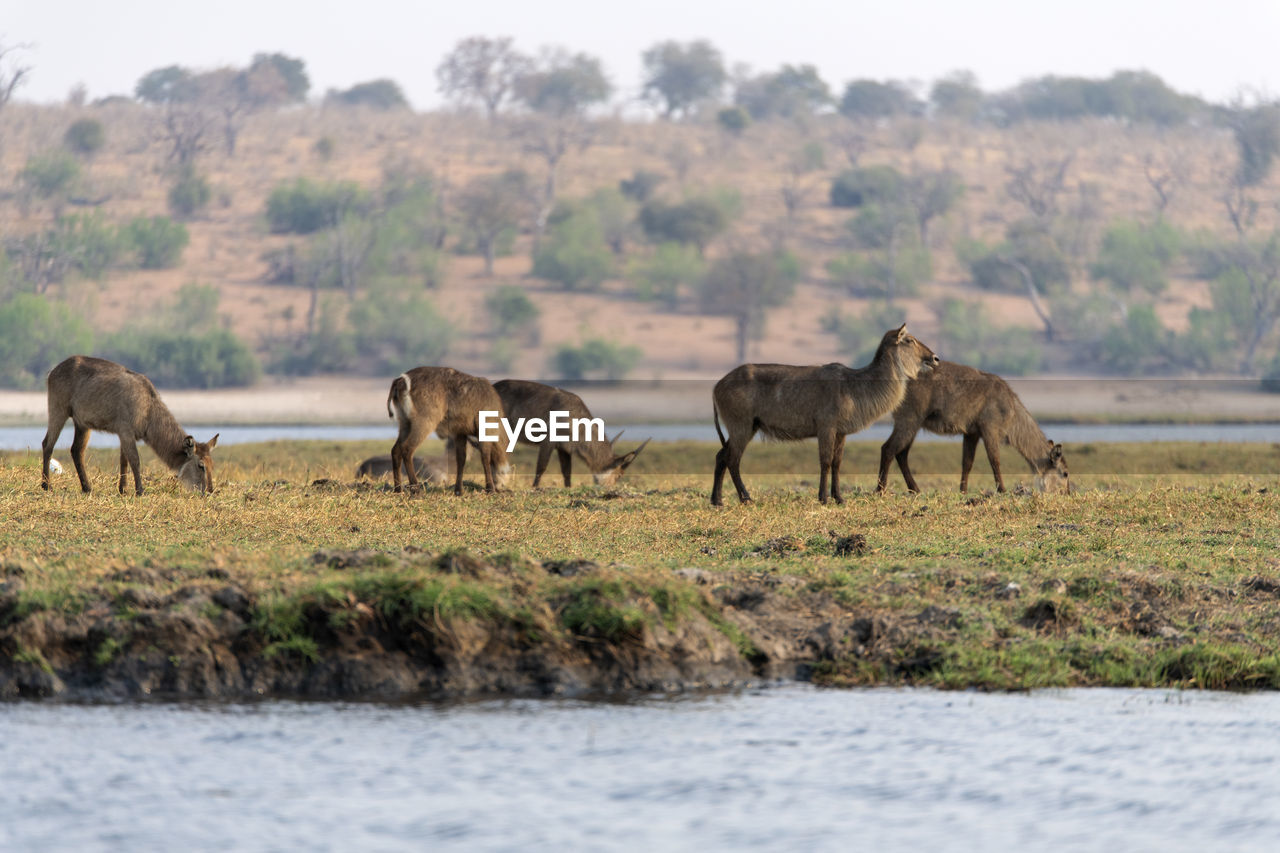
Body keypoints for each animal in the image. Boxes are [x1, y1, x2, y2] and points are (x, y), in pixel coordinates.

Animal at [40, 356, 217, 494]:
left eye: (212, 465)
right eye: (201, 465)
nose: (209, 491)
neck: (148, 410)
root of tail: (53, 371)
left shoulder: (123, 433)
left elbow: (123, 460)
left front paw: (123, 489)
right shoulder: (125, 430)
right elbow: (134, 460)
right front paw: (140, 490)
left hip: (82, 423)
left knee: (76, 450)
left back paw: (87, 487)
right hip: (58, 409)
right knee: (47, 443)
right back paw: (46, 485)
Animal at [386, 363, 512, 494]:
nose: (501, 486)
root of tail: (401, 380)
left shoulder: (460, 432)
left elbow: (461, 459)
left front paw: (459, 490)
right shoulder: (484, 430)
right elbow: (485, 458)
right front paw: (490, 489)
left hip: (404, 422)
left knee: (395, 450)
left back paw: (398, 489)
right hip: (425, 421)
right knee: (407, 448)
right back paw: (416, 488)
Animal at [491, 379, 650, 484]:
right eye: (619, 476)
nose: (610, 489)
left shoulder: (564, 448)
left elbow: (567, 472)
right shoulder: (548, 441)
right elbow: (541, 467)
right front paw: (535, 489)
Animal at [711, 322, 942, 502]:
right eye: (909, 340)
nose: (935, 358)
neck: (856, 387)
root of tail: (716, 386)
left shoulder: (841, 432)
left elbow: (837, 463)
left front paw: (839, 497)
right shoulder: (826, 427)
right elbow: (825, 461)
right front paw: (823, 498)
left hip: (748, 426)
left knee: (721, 455)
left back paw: (717, 500)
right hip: (741, 425)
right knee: (733, 459)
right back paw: (745, 498)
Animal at [880, 356, 1070, 491]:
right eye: (1065, 473)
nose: (1067, 494)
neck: (1012, 412)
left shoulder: (972, 432)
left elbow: (967, 462)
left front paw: (963, 491)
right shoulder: (990, 428)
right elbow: (994, 459)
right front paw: (1002, 490)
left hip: (914, 424)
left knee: (901, 454)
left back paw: (915, 489)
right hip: (909, 419)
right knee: (888, 448)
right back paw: (880, 489)